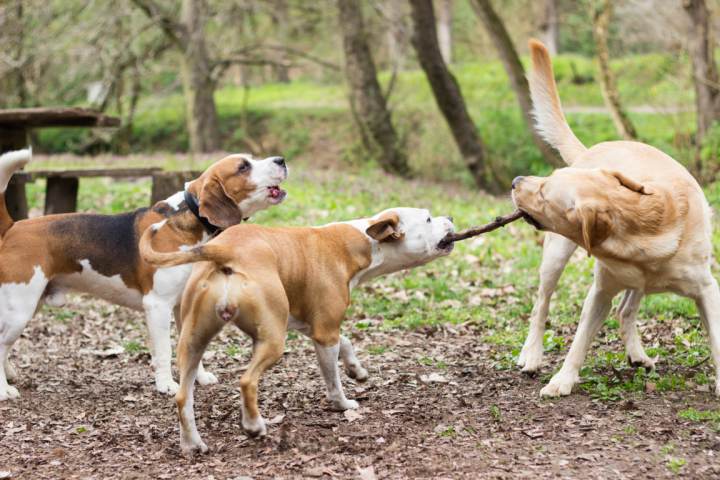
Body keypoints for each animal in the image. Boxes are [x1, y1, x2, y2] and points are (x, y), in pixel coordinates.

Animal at [0, 151, 286, 402]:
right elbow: (164, 351)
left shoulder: (185, 304)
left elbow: (192, 345)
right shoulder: (157, 306)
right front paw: (166, 385)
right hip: (20, 308)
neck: (186, 219)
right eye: (243, 166)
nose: (281, 160)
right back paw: (4, 390)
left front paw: (199, 377)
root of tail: (13, 228)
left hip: (28, 305)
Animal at [139, 207, 456, 454]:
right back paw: (254, 426)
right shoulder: (324, 333)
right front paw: (343, 404)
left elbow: (346, 341)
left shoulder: (311, 325)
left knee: (183, 396)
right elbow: (333, 380)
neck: (359, 241)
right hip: (272, 340)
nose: (451, 217)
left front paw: (356, 369)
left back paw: (192, 443)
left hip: (194, 340)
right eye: (428, 218)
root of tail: (224, 249)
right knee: (246, 381)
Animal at [512, 38, 720, 398]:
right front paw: (562, 380)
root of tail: (592, 150)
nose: (515, 182)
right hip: (555, 257)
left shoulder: (708, 290)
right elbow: (579, 341)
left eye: (544, 192)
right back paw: (532, 355)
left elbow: (717, 341)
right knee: (541, 305)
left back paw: (637, 354)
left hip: (637, 285)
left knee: (626, 311)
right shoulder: (599, 292)